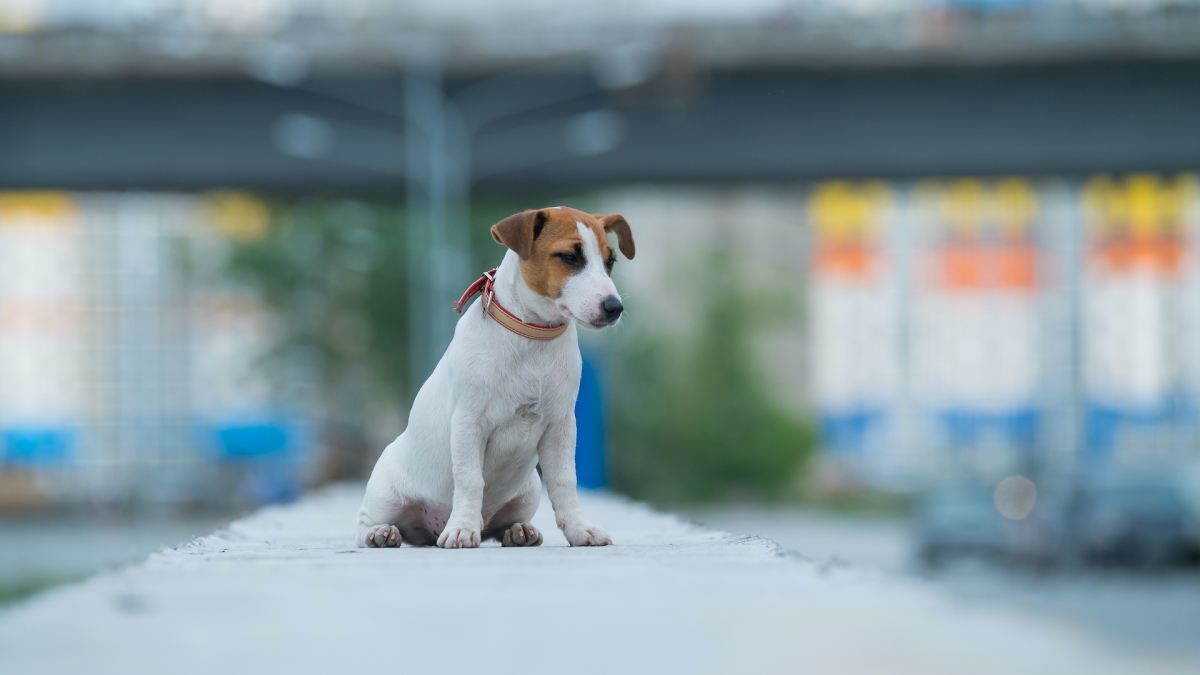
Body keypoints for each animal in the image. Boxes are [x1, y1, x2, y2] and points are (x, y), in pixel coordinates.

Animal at [355, 205, 638, 547]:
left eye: (611, 261)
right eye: (570, 256)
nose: (614, 307)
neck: (532, 336)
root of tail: (430, 530)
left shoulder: (561, 425)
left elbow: (564, 481)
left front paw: (579, 528)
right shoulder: (468, 422)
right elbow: (470, 479)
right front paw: (462, 528)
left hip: (528, 492)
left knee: (502, 524)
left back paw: (519, 531)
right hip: (385, 497)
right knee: (366, 523)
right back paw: (381, 534)